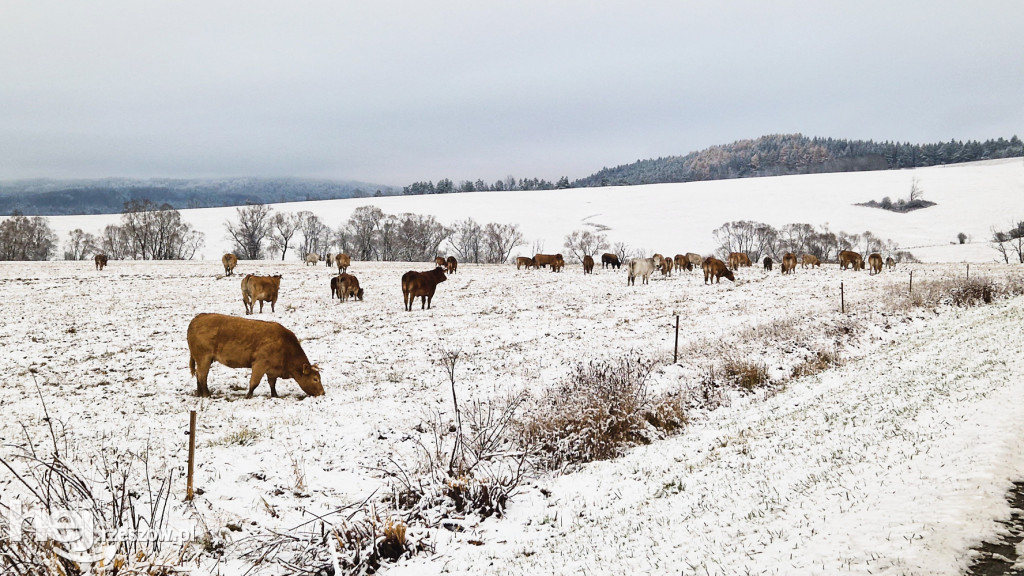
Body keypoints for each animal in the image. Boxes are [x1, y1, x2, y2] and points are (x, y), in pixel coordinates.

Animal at [187, 311, 323, 397]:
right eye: (315, 379)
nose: (323, 393)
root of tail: (197, 318)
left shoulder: (272, 369)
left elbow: (272, 384)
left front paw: (275, 395)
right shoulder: (259, 364)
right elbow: (254, 383)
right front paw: (248, 396)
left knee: (199, 375)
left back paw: (199, 393)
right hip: (204, 358)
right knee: (202, 376)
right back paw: (207, 394)